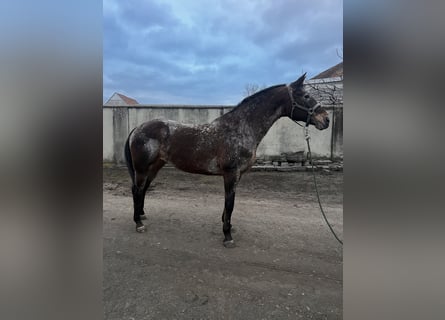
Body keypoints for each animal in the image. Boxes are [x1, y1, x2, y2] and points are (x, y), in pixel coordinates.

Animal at [123, 73, 328, 248]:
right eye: (306, 96)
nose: (325, 120)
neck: (241, 128)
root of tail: (138, 128)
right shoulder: (230, 173)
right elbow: (230, 203)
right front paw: (227, 236)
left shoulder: (237, 175)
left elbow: (228, 204)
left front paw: (227, 226)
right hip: (142, 168)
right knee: (136, 190)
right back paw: (138, 223)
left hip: (155, 166)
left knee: (144, 189)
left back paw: (142, 214)